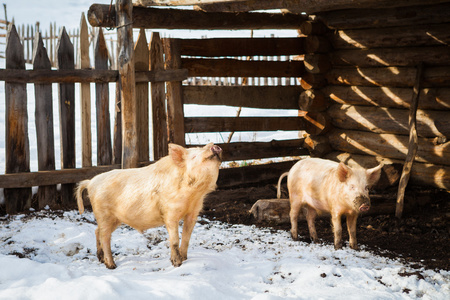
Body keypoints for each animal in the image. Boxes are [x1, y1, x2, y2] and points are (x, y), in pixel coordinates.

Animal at [76, 143, 223, 270]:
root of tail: (90, 182)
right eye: (194, 156)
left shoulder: (193, 212)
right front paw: (177, 264)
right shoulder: (170, 212)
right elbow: (174, 239)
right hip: (104, 213)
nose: (214, 146)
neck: (193, 195)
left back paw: (101, 260)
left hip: (113, 219)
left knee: (97, 231)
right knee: (104, 237)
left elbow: (186, 238)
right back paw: (111, 266)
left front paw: (185, 259)